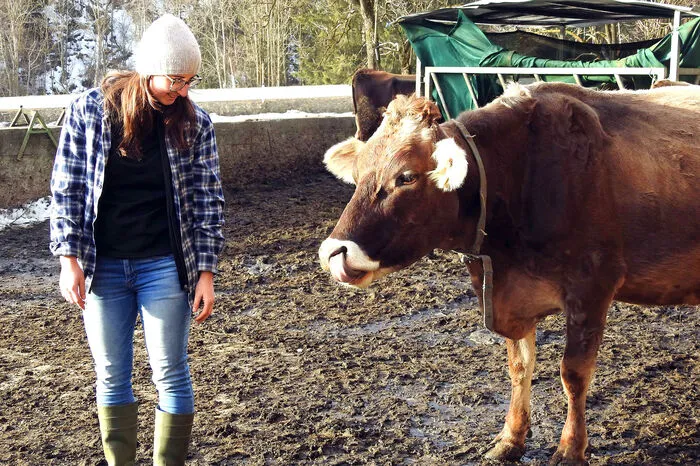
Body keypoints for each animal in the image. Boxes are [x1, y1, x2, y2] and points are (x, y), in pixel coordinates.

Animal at [318, 82, 700, 465]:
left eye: (406, 177)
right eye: (357, 175)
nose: (334, 253)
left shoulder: (592, 286)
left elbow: (574, 374)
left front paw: (570, 448)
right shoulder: (508, 295)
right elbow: (519, 367)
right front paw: (511, 438)